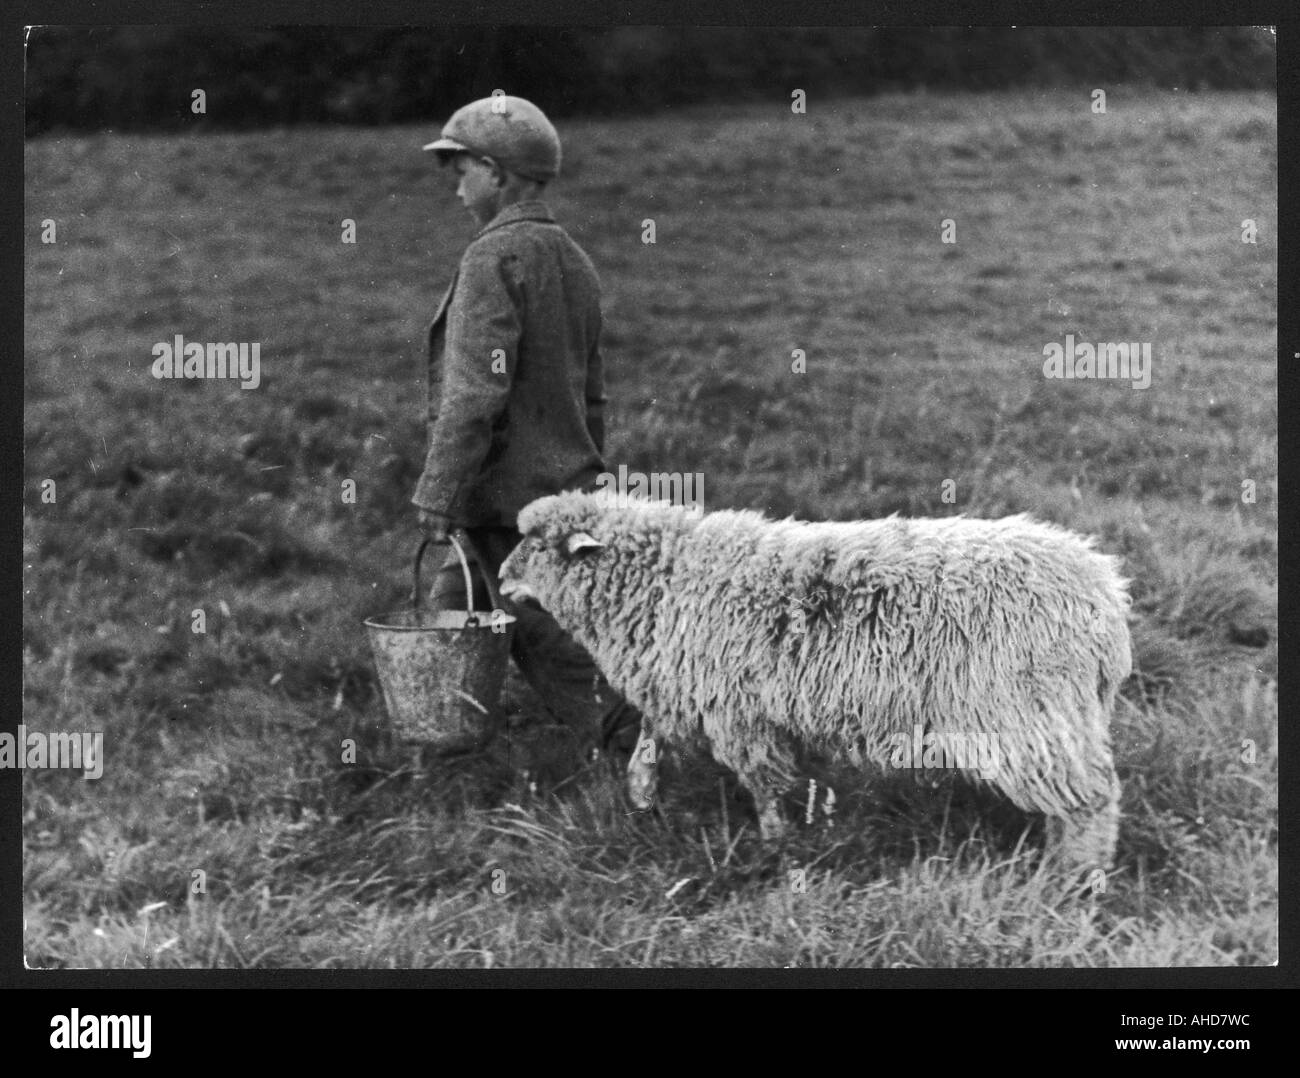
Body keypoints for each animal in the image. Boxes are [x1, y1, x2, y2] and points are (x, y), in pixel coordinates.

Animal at [496, 488, 1128, 868]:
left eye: (537, 543)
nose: (499, 579)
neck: (667, 578)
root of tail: (1105, 595)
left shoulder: (737, 712)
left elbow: (763, 784)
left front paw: (777, 848)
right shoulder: (680, 687)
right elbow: (648, 747)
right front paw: (642, 801)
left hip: (1030, 713)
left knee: (1093, 799)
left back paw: (1079, 878)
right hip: (1055, 714)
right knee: (1076, 797)